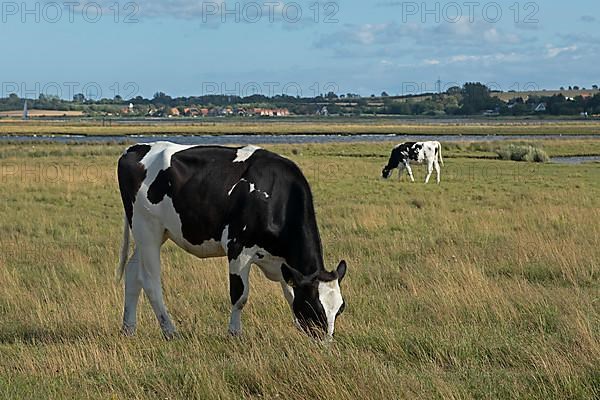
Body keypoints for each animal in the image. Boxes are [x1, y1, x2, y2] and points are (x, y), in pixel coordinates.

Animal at [116, 142, 346, 340]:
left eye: (340, 309)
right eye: (314, 307)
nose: (325, 342)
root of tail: (134, 149)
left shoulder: (283, 263)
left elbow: (290, 294)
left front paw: (297, 326)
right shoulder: (238, 248)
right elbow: (240, 295)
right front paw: (234, 333)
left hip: (152, 233)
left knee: (132, 272)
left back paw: (128, 328)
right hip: (147, 230)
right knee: (150, 281)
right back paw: (170, 331)